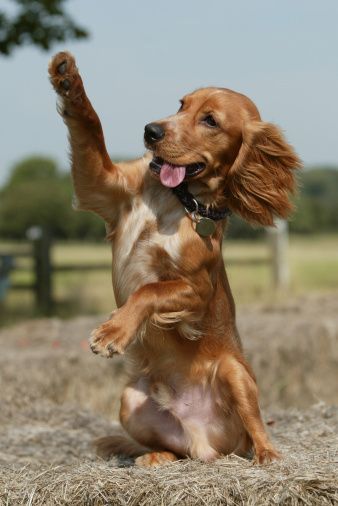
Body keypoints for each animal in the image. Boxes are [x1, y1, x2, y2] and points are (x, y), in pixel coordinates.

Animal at [48, 51, 302, 466]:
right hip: (129, 401)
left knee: (255, 428)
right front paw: (69, 79)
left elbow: (149, 291)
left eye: (210, 120)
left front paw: (114, 331)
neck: (177, 200)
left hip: (235, 373)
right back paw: (157, 456)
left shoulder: (196, 290)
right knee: (177, 449)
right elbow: (90, 126)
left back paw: (267, 455)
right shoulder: (100, 185)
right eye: (181, 104)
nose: (151, 131)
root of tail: (204, 442)